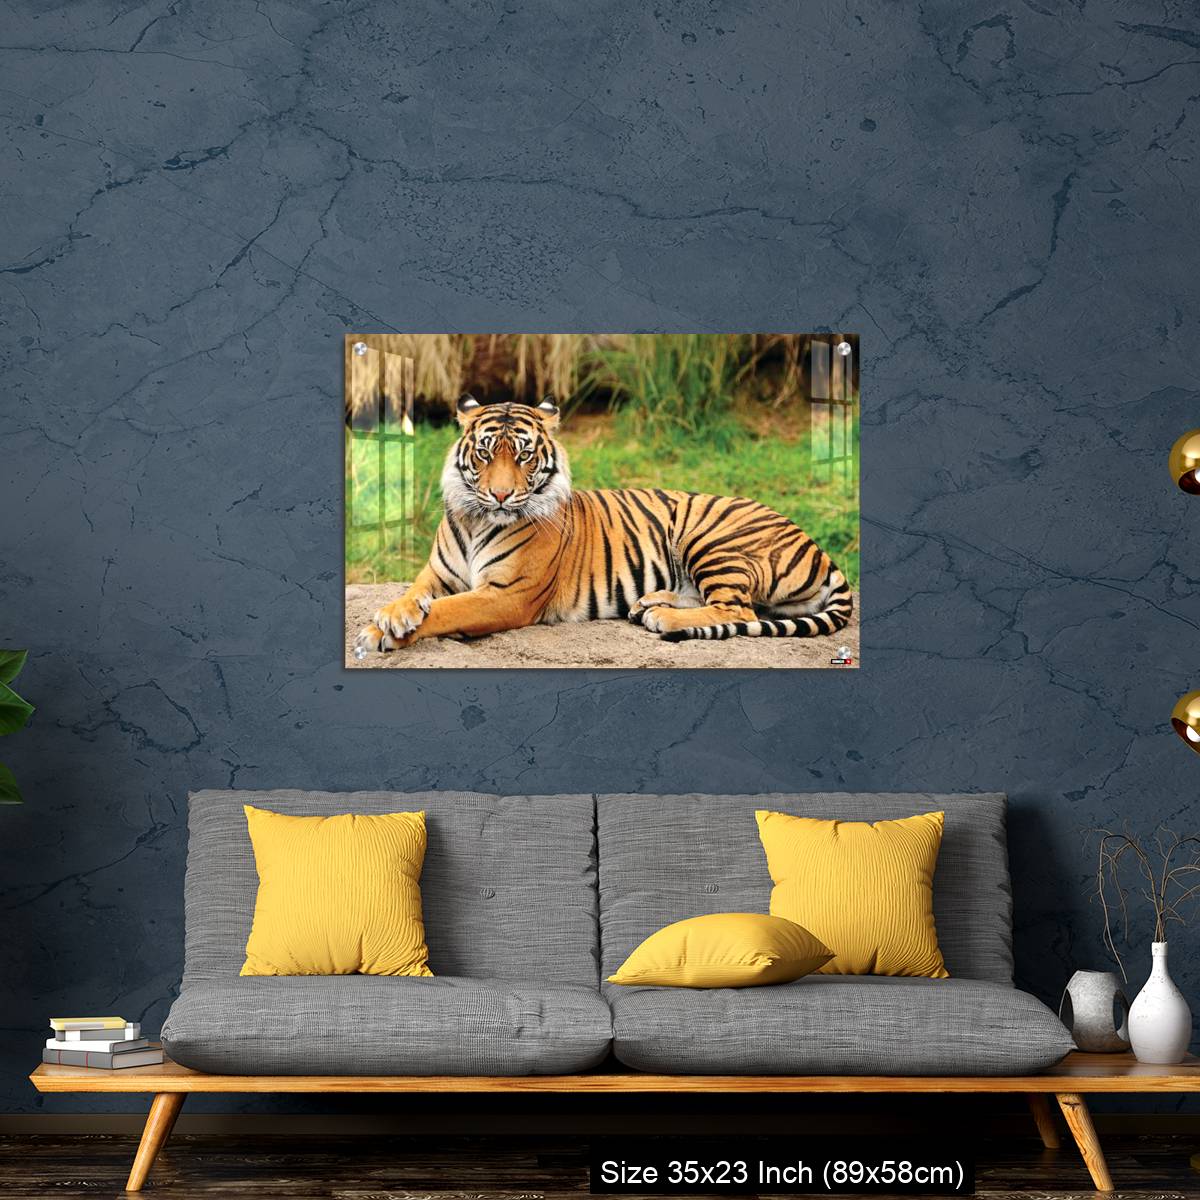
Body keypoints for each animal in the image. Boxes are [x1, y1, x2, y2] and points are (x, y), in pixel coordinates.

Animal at [354, 394, 853, 653]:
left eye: (524, 455)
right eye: (484, 453)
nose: (500, 495)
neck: (478, 520)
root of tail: (818, 547)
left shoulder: (508, 594)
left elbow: (448, 610)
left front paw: (382, 633)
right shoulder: (437, 574)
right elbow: (415, 596)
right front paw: (391, 615)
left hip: (710, 537)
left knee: (739, 610)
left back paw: (663, 618)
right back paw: (649, 604)